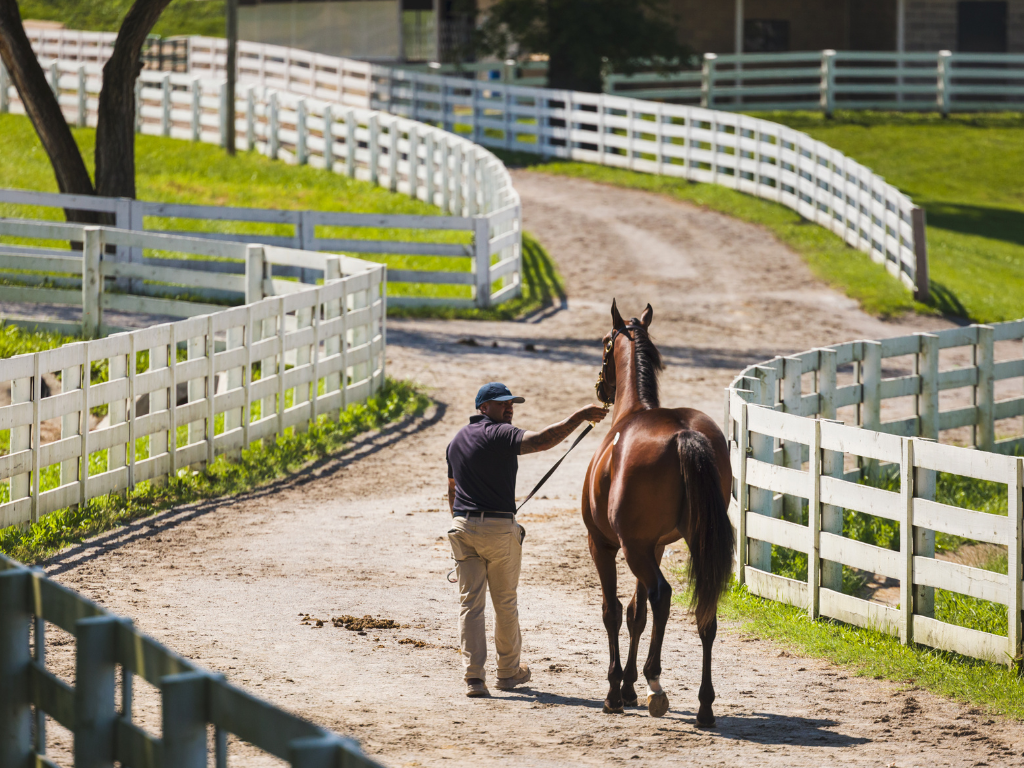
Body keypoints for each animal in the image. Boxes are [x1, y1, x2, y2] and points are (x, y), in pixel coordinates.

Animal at [581, 301, 733, 729]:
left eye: (604, 342)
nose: (601, 387)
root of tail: (684, 434)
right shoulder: (656, 546)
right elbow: (637, 612)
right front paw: (630, 687)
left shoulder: (605, 545)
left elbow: (614, 611)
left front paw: (616, 692)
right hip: (685, 543)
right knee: (705, 613)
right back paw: (704, 705)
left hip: (632, 549)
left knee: (662, 595)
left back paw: (655, 682)